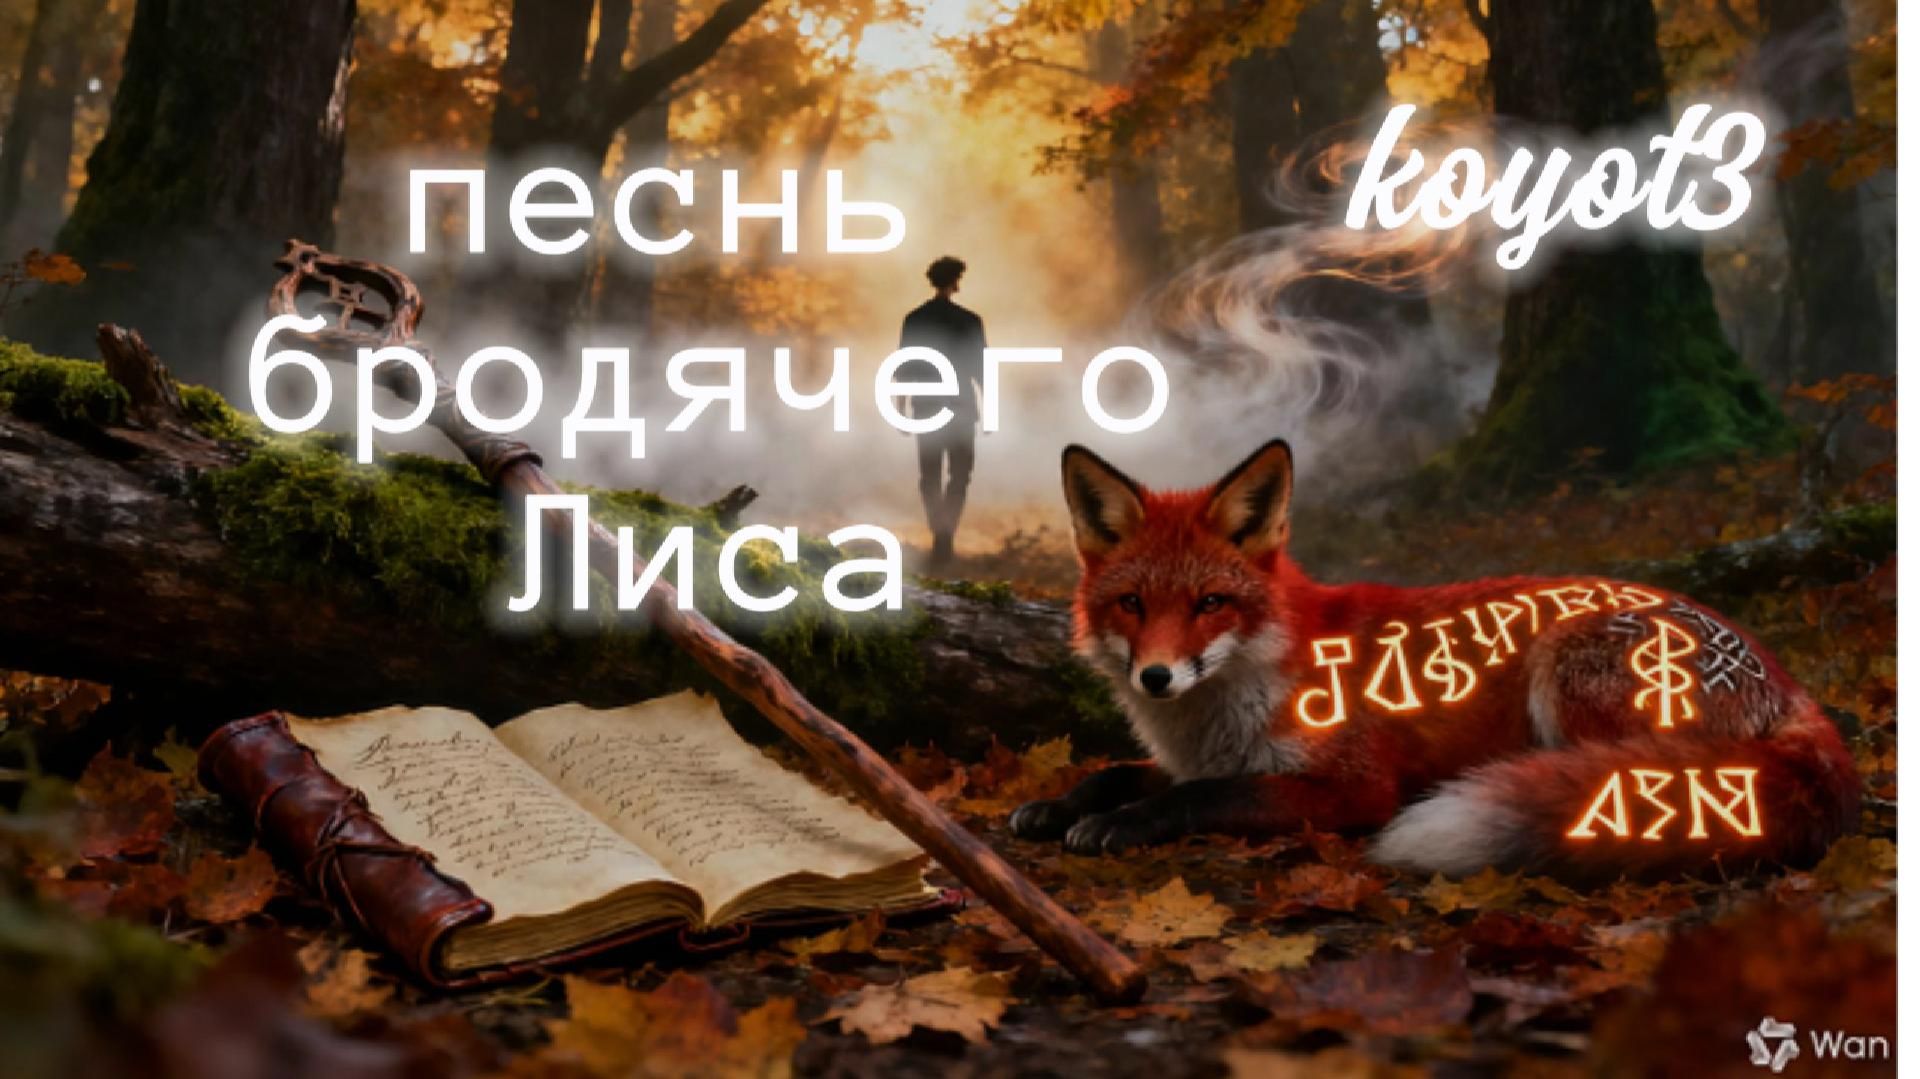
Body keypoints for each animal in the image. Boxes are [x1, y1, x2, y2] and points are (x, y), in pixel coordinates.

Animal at [1009, 440, 1860, 881]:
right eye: (1132, 604)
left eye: (1211, 602)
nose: (1156, 675)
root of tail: (1784, 678)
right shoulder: (1204, 755)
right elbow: (1116, 772)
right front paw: (1058, 805)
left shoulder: (1353, 784)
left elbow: (1203, 798)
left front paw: (1120, 823)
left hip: (1565, 671)